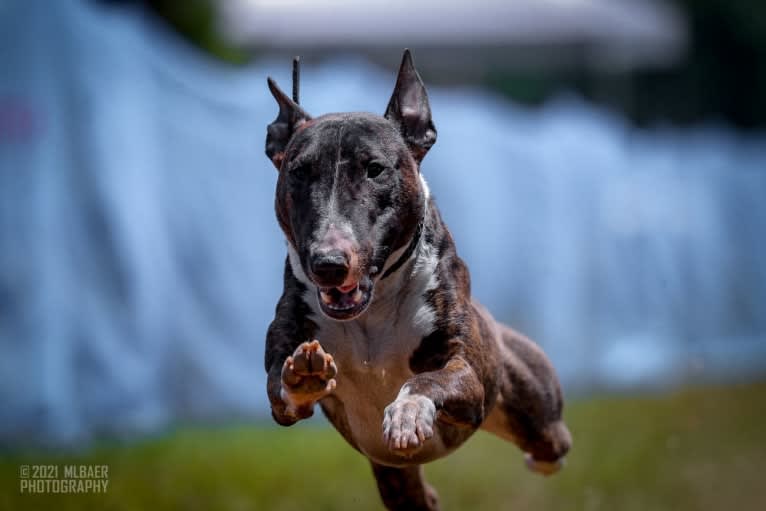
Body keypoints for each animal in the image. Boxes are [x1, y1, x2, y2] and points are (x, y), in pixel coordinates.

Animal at [264, 49, 568, 511]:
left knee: (553, 443)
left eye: (374, 169)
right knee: (421, 496)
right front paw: (303, 375)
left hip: (534, 408)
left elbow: (427, 379)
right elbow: (280, 390)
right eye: (298, 172)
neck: (371, 312)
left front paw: (408, 410)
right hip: (396, 478)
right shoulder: (281, 373)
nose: (328, 264)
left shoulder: (465, 372)